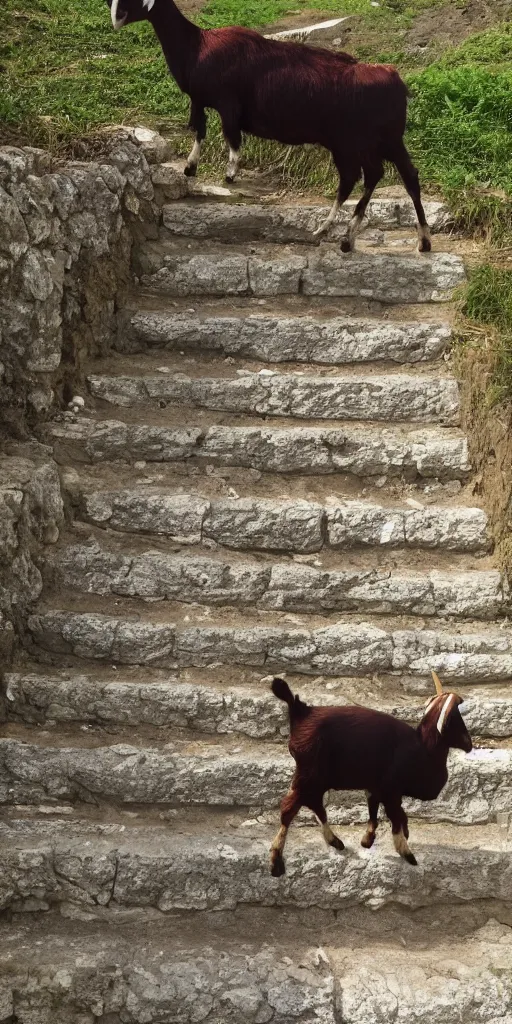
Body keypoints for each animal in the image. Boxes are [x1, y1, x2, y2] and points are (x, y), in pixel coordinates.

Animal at [107, 0, 432, 251]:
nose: (115, 18)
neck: (197, 45)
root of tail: (394, 80)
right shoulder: (200, 100)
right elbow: (199, 129)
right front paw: (190, 167)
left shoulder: (227, 103)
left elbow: (230, 136)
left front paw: (229, 173)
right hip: (386, 141)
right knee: (403, 175)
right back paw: (418, 239)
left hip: (354, 143)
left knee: (365, 175)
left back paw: (345, 236)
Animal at [270, 675, 473, 876]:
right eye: (454, 718)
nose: (469, 744)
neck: (423, 748)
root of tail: (300, 711)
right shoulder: (390, 791)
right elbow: (395, 817)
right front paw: (406, 852)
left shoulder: (377, 788)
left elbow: (379, 811)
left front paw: (368, 840)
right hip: (309, 778)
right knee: (289, 809)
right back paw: (276, 861)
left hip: (315, 781)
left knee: (315, 806)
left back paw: (335, 841)